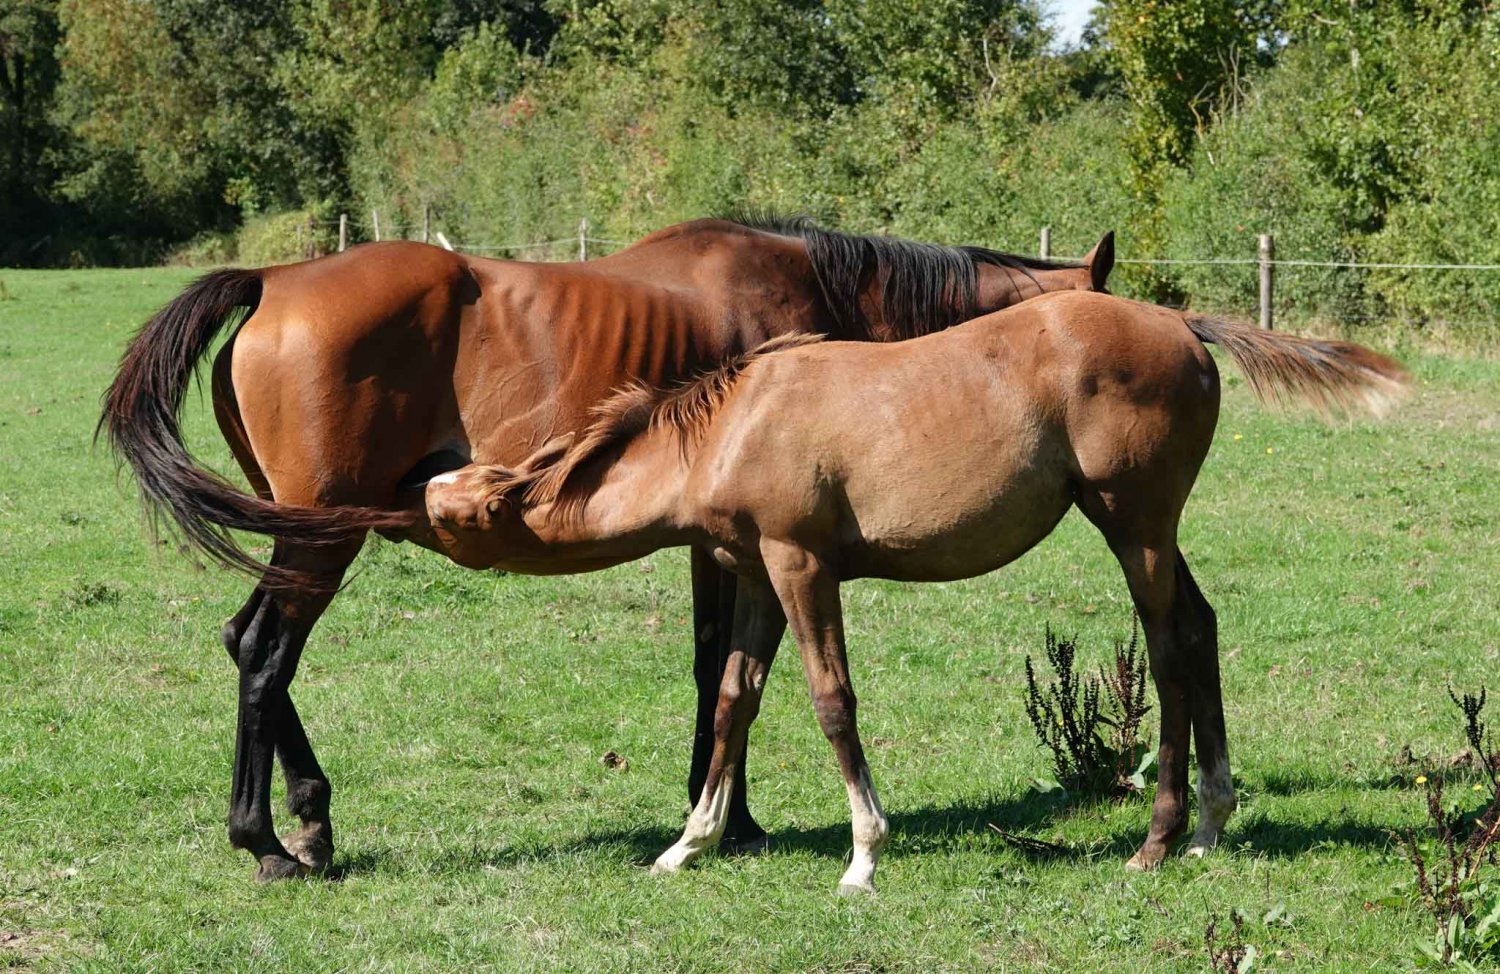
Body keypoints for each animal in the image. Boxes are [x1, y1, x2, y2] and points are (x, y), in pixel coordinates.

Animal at [100, 214, 1115, 881]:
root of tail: (273, 279)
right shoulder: (739, 545)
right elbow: (723, 671)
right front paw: (729, 819)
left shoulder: (720, 543)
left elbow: (720, 671)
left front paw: (718, 813)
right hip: (322, 539)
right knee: (265, 653)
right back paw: (267, 842)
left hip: (303, 534)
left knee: (246, 642)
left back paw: (310, 818)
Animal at [413, 291, 1408, 893]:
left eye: (472, 511)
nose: (416, 496)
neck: (735, 424)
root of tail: (1181, 326)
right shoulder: (758, 578)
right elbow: (735, 701)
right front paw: (689, 842)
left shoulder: (802, 567)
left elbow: (832, 702)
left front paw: (864, 854)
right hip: (1147, 531)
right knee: (1198, 631)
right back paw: (1209, 824)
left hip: (1135, 529)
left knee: (1166, 650)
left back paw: (1158, 841)